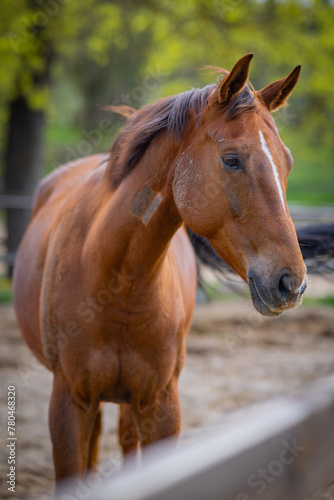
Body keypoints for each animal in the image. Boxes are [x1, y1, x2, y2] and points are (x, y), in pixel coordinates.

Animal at [13, 54, 308, 488]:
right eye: (232, 159)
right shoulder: (68, 403)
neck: (117, 284)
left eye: (288, 163)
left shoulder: (162, 404)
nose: (292, 283)